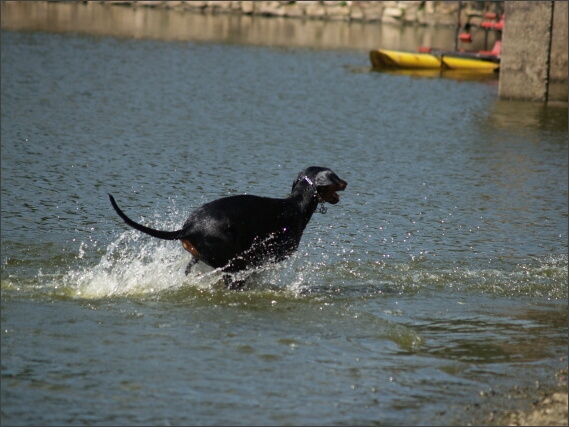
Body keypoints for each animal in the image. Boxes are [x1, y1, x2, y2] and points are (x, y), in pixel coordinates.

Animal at [108, 166, 344, 290]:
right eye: (335, 176)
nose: (347, 182)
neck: (296, 205)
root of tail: (188, 227)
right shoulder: (268, 255)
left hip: (200, 258)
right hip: (231, 260)